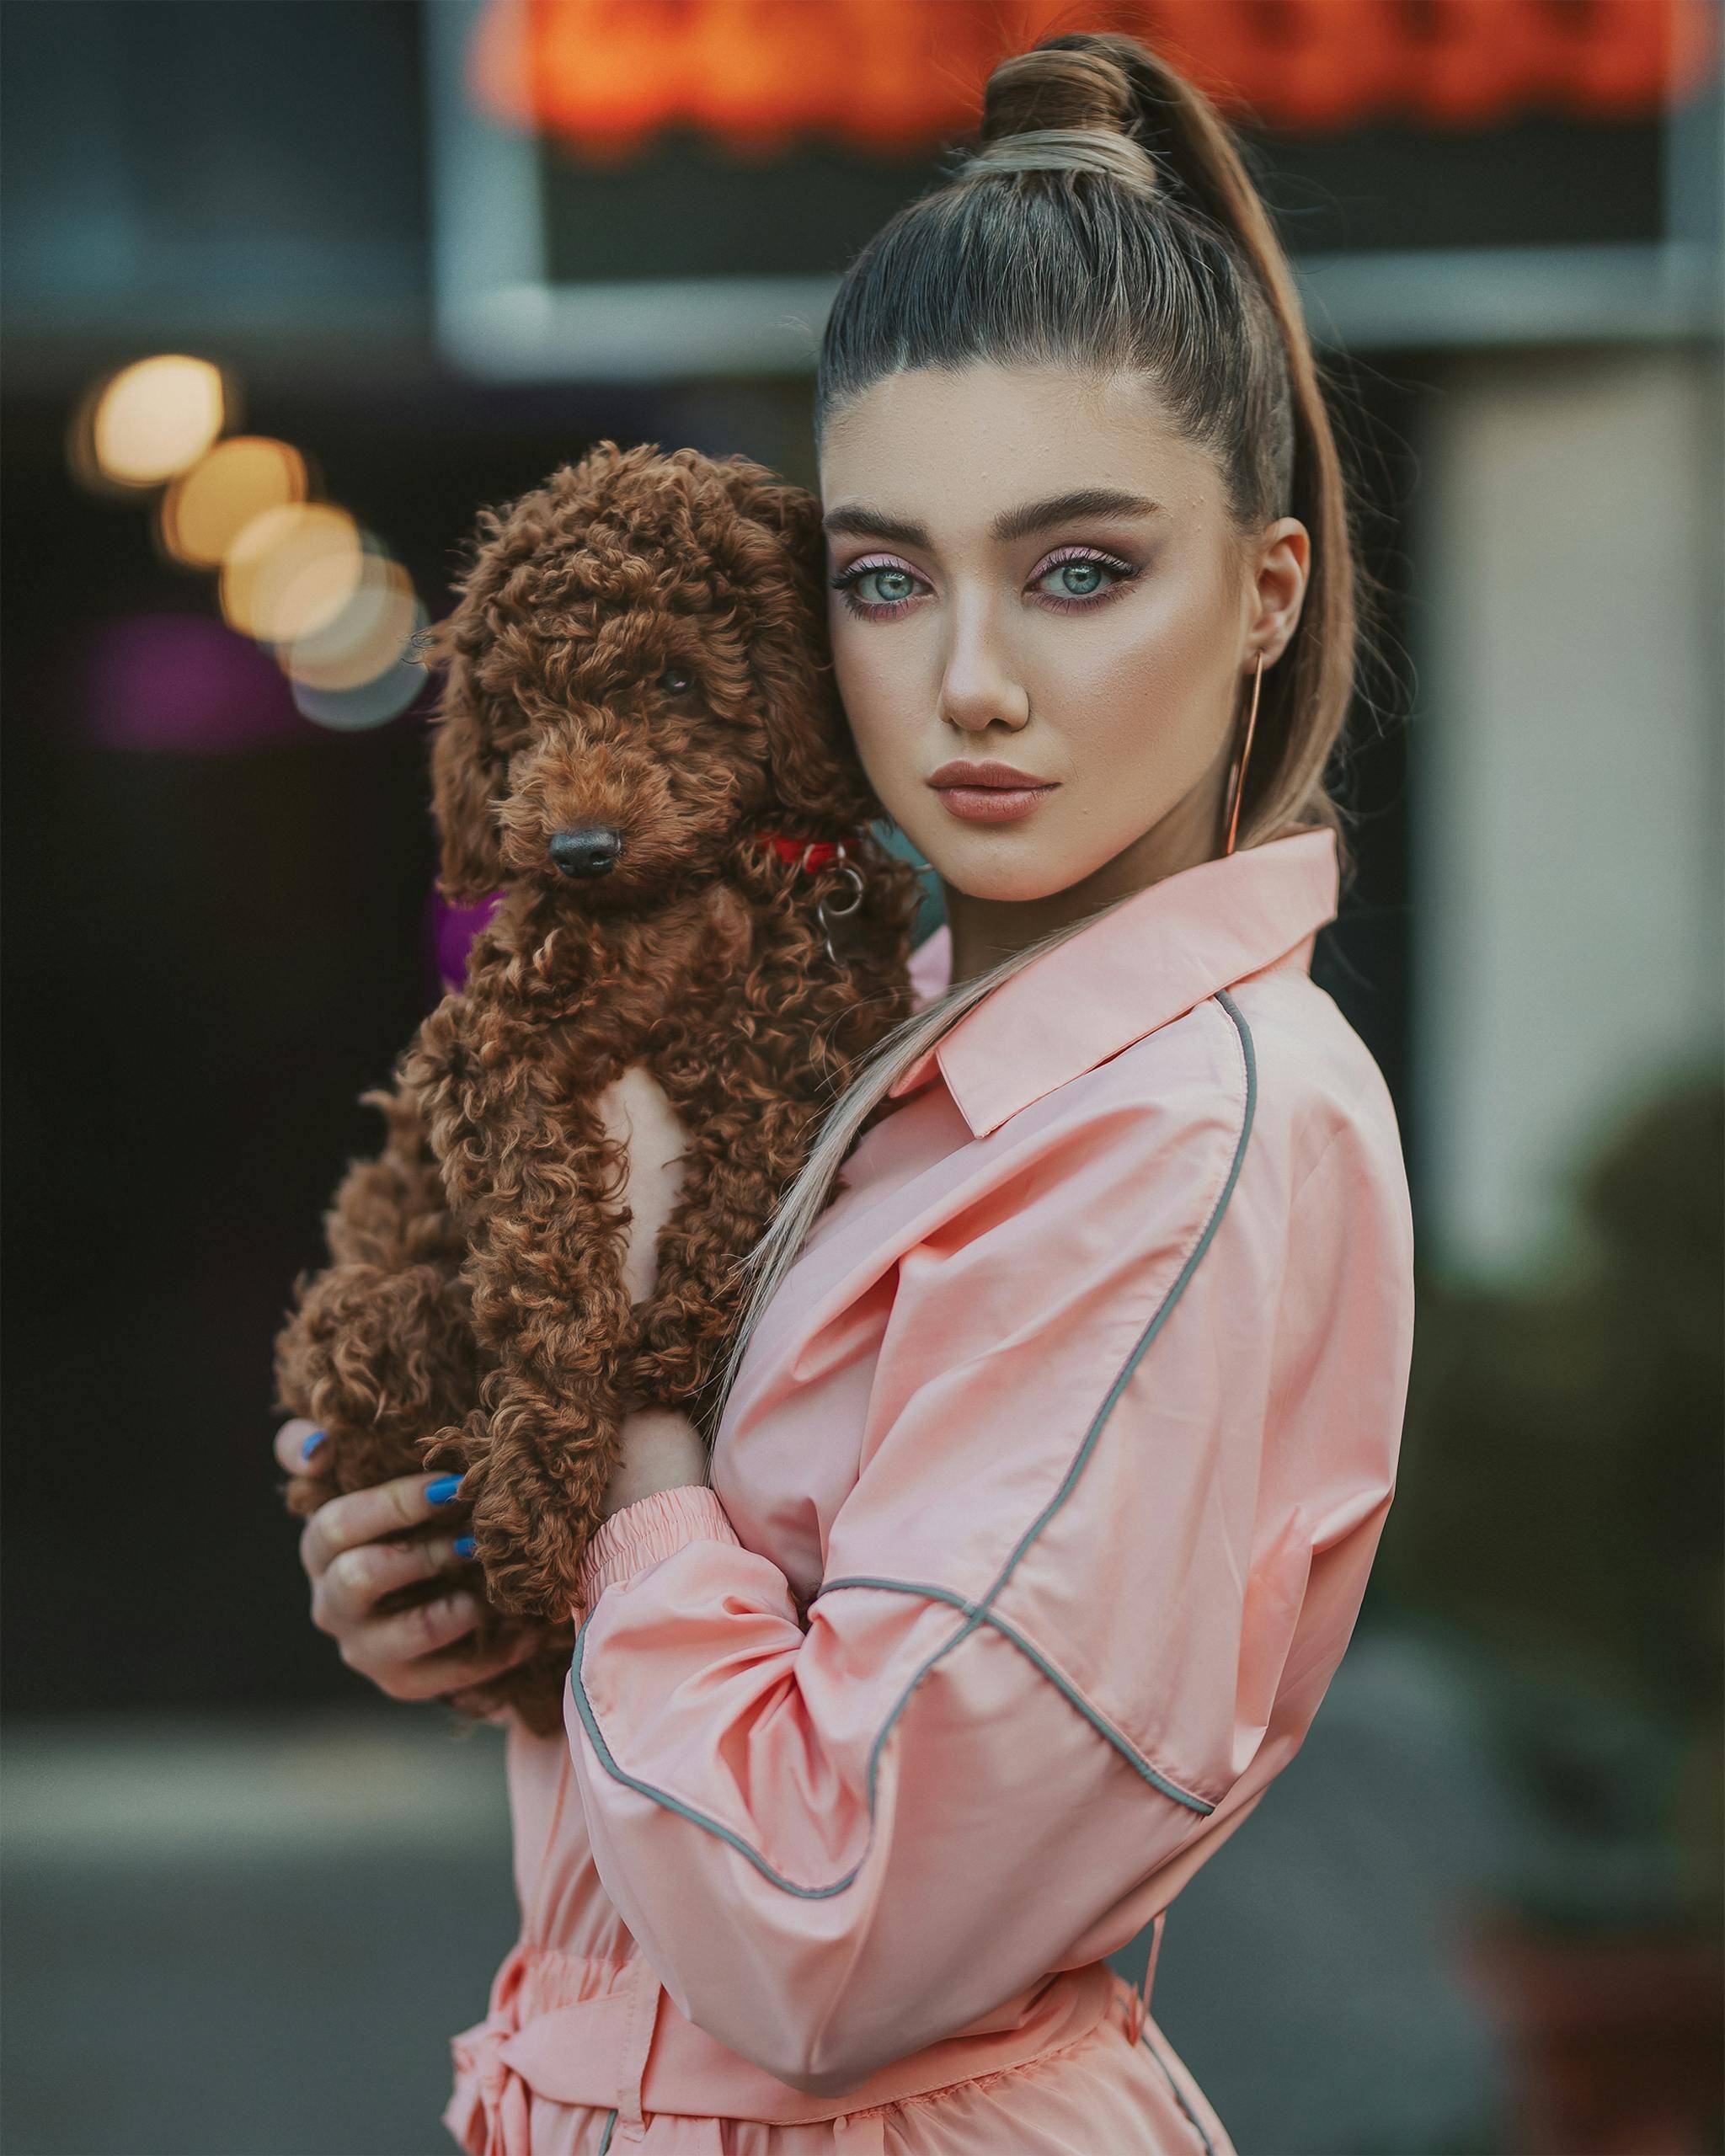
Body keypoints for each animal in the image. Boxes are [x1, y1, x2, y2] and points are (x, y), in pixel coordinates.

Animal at [280, 441, 931, 1733]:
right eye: (521, 708)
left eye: (678, 681)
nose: (577, 850)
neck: (695, 890)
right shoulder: (493, 1047)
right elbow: (548, 1253)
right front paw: (541, 1491)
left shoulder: (818, 1033)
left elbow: (763, 1156)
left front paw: (679, 1331)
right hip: (353, 1319)